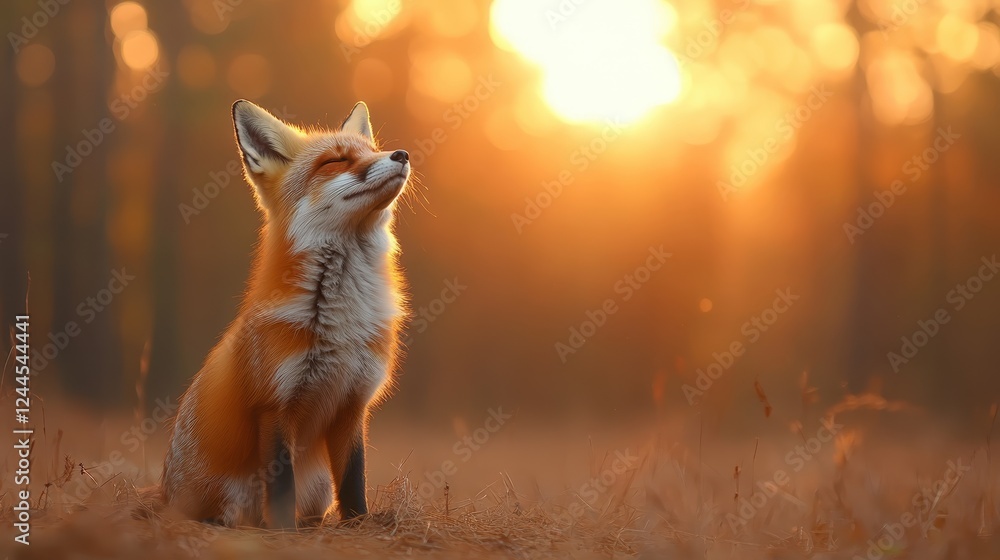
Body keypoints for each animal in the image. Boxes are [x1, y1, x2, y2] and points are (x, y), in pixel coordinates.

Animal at [160, 100, 410, 529]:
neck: (342, 323)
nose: (402, 154)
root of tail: (162, 494)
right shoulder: (274, 405)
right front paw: (283, 533)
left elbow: (353, 480)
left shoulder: (352, 404)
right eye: (336, 161)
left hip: (318, 489)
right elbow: (280, 487)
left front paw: (358, 524)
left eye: (372, 150)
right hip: (229, 501)